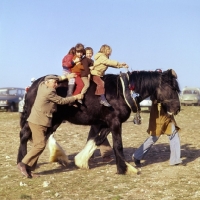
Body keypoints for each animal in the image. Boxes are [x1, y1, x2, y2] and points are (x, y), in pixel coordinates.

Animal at [17, 69, 181, 174]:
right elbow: (117, 145)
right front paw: (124, 169)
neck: (123, 91)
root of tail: (32, 86)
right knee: (25, 135)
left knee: (42, 138)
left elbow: (96, 140)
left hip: (54, 120)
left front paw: (82, 160)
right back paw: (22, 163)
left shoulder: (105, 123)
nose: (177, 108)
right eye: (173, 88)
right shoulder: (115, 122)